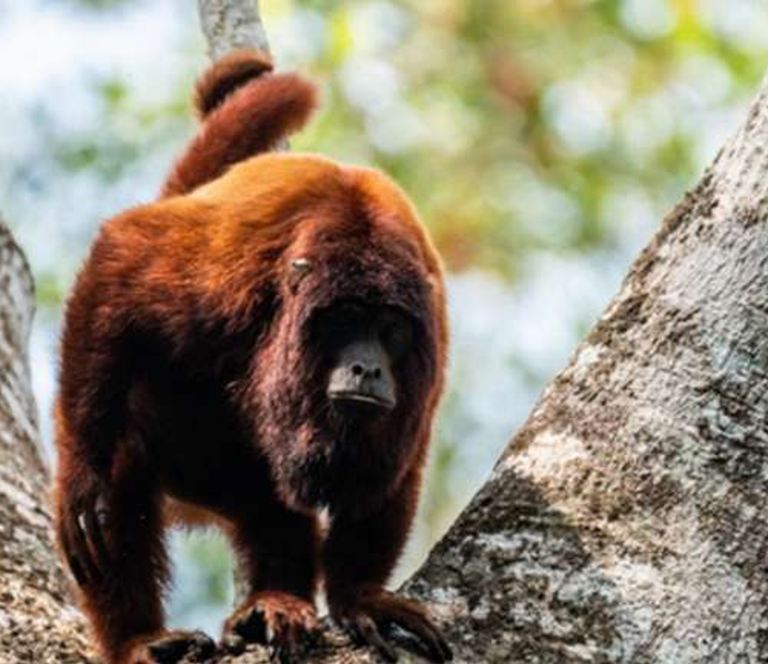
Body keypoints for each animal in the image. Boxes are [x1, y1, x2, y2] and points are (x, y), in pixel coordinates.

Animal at [53, 49, 451, 664]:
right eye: (344, 321)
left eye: (391, 329)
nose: (368, 367)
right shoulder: (226, 273)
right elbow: (123, 253)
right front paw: (84, 471)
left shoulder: (431, 348)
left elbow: (397, 469)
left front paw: (359, 595)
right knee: (122, 446)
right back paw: (139, 638)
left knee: (271, 504)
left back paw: (271, 603)